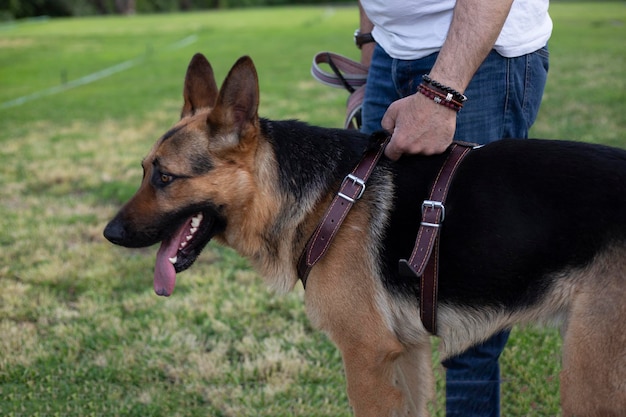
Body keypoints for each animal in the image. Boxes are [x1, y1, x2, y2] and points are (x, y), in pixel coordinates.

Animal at [105, 53, 624, 414]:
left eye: (165, 178)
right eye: (143, 171)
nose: (110, 233)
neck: (327, 197)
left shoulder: (366, 358)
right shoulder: (407, 353)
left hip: (587, 378)